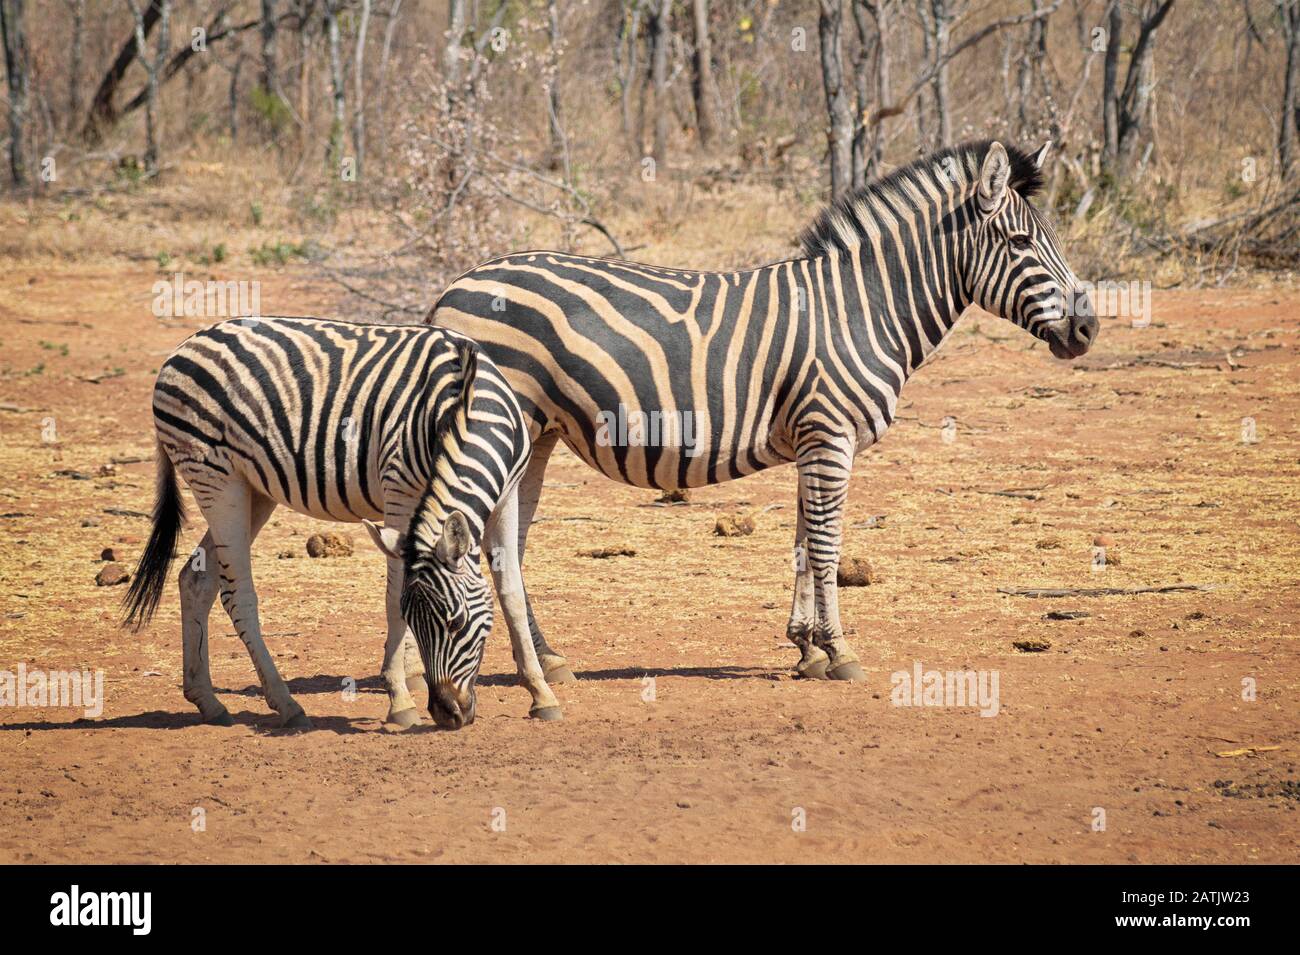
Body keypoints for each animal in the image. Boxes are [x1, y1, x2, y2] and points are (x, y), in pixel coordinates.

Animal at [122, 320, 564, 732]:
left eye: (456, 623)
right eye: (415, 621)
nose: (446, 715)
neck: (466, 405)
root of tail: (185, 344)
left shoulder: (507, 495)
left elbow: (511, 592)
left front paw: (541, 694)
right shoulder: (400, 493)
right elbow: (391, 597)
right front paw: (400, 702)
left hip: (253, 489)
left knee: (195, 580)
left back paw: (207, 700)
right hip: (216, 478)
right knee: (237, 595)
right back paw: (286, 704)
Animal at [431, 138, 1102, 696]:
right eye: (1021, 244)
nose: (1088, 329)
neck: (866, 307)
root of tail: (452, 288)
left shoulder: (815, 439)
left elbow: (805, 541)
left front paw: (807, 649)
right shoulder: (830, 434)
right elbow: (828, 547)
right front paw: (841, 652)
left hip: (537, 435)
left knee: (504, 545)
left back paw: (548, 662)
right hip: (501, 430)